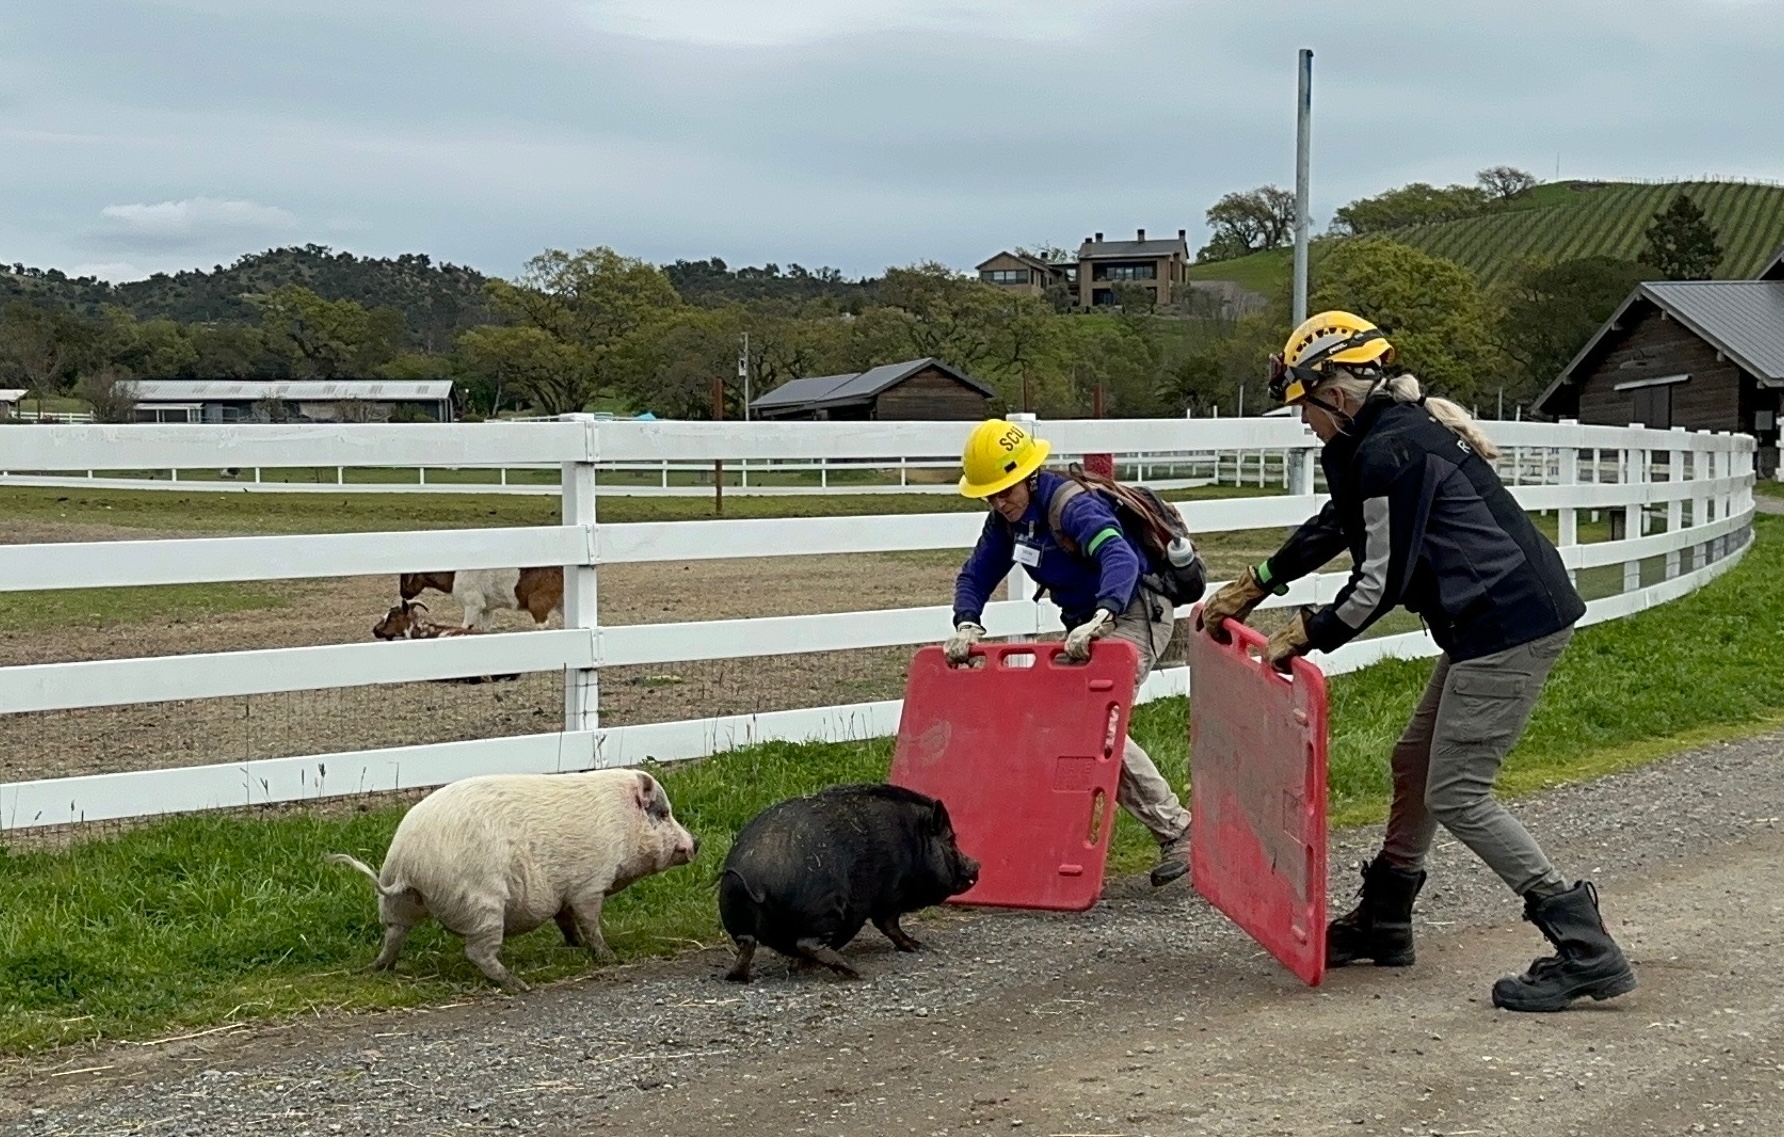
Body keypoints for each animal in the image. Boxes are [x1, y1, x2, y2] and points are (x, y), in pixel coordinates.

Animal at [327, 769, 699, 992]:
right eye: (663, 813)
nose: (696, 842)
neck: (622, 827)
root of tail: (411, 860)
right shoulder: (589, 884)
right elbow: (590, 922)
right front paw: (609, 958)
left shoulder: (563, 894)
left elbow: (567, 921)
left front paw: (575, 945)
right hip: (483, 905)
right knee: (478, 952)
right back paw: (519, 984)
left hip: (398, 901)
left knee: (394, 932)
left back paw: (377, 969)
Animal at [718, 783, 980, 982]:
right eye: (950, 840)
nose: (976, 864)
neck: (913, 842)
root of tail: (756, 877)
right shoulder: (891, 893)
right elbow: (889, 924)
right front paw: (917, 946)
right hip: (823, 911)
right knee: (806, 943)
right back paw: (854, 972)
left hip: (732, 910)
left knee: (747, 942)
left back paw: (737, 976)